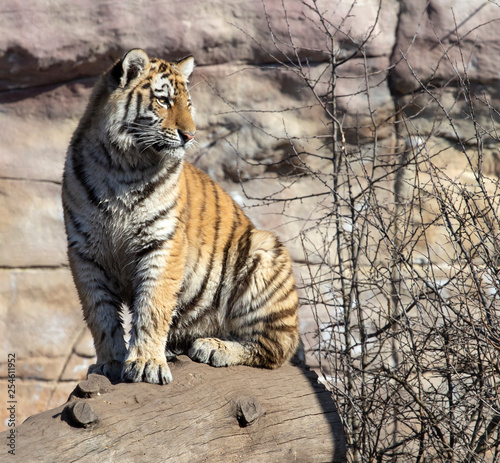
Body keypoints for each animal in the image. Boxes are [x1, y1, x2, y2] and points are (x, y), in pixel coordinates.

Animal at [61, 49, 298, 386]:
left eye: (188, 104)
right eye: (164, 101)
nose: (190, 134)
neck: (120, 166)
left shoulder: (162, 242)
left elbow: (153, 306)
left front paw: (146, 363)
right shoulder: (85, 251)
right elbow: (100, 314)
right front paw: (110, 362)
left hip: (264, 253)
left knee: (275, 349)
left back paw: (212, 347)